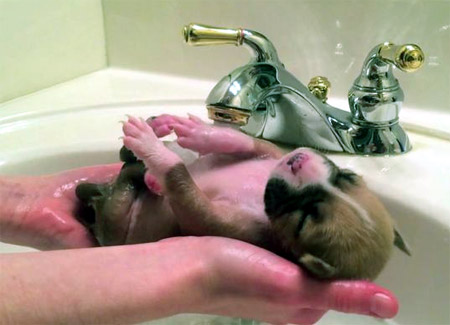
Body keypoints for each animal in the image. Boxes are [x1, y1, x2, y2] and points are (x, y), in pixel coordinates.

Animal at [75, 113, 410, 278]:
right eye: (348, 176)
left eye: (305, 220)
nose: (298, 160)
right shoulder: (269, 153)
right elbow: (244, 142)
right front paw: (197, 131)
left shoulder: (218, 223)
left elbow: (180, 181)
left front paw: (153, 149)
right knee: (125, 158)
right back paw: (155, 131)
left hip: (116, 220)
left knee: (120, 191)